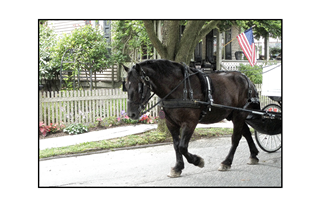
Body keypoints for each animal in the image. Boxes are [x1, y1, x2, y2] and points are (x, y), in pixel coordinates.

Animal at [124, 59, 262, 177]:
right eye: (125, 85)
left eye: (139, 86)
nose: (131, 114)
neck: (179, 88)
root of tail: (247, 80)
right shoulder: (171, 123)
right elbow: (176, 145)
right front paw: (177, 168)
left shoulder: (190, 122)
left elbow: (182, 147)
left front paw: (197, 160)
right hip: (233, 115)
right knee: (246, 133)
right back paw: (253, 155)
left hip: (239, 114)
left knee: (236, 138)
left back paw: (226, 162)